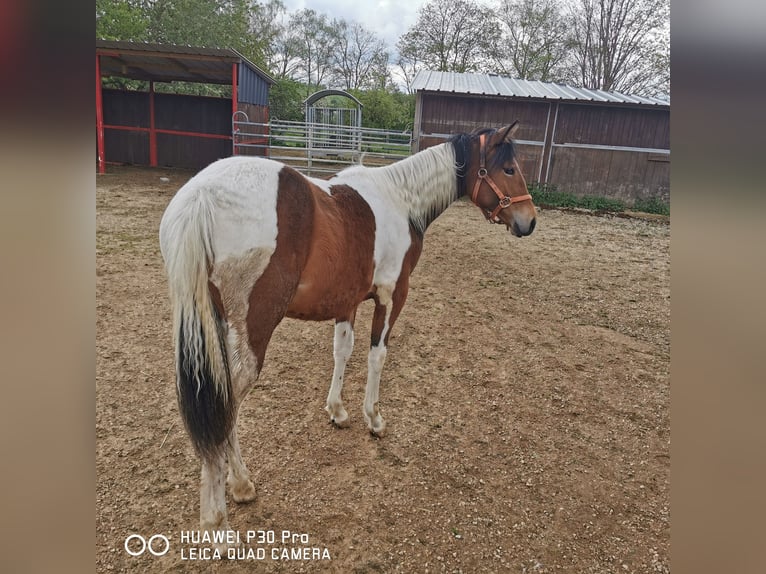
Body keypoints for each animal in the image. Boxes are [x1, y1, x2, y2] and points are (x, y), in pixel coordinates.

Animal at [159, 122, 536, 544]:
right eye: (509, 169)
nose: (529, 220)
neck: (401, 200)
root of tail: (201, 196)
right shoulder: (392, 295)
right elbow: (376, 355)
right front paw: (374, 418)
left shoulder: (348, 301)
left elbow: (343, 351)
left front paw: (337, 411)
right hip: (252, 328)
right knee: (228, 401)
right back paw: (218, 520)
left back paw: (240, 484)